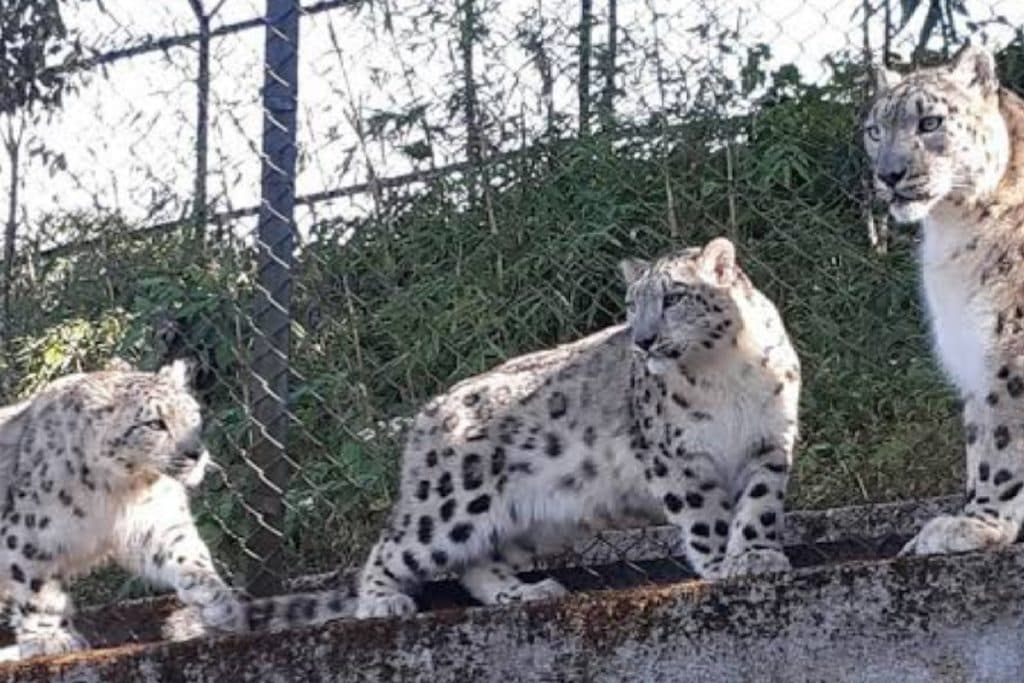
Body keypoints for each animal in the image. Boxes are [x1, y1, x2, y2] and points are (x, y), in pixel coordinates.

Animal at [0, 360, 349, 661]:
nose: (196, 453)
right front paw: (49, 639)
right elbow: (38, 588)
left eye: (193, 415)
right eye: (154, 423)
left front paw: (216, 600)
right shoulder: (30, 535)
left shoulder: (156, 522)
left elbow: (186, 553)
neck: (120, 491)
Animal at [354, 236, 802, 618]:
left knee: (476, 562)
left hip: (532, 524)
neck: (726, 374)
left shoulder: (768, 441)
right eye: (631, 304)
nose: (643, 340)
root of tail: (430, 409)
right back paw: (381, 603)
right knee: (393, 546)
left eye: (674, 297)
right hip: (453, 501)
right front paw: (719, 564)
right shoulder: (676, 457)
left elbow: (759, 502)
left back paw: (525, 591)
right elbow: (705, 514)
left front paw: (755, 556)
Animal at [863, 43, 1024, 556]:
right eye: (875, 130)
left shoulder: (1009, 348)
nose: (889, 174)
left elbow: (1001, 441)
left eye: (930, 122)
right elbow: (978, 435)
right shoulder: (974, 354)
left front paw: (979, 523)